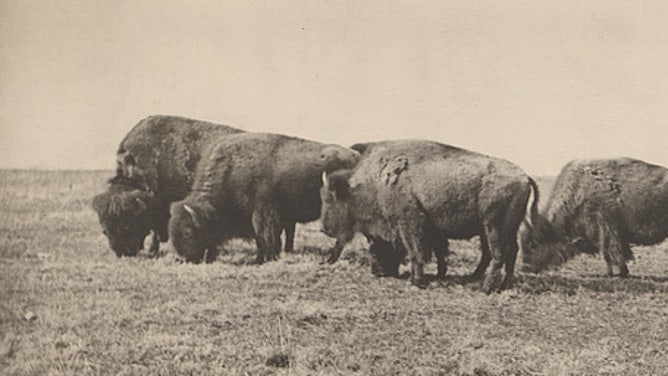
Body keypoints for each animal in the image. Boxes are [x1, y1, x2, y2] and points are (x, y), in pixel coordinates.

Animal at [167, 134, 360, 262]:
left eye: (188, 231)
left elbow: (266, 236)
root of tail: (355, 156)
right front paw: (264, 256)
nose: (185, 259)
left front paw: (264, 258)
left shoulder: (264, 212)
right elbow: (262, 238)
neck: (231, 169)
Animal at [318, 141, 536, 294]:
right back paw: (499, 284)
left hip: (493, 226)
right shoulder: (432, 230)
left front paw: (416, 281)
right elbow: (439, 253)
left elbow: (416, 252)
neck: (375, 183)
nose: (324, 229)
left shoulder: (408, 223)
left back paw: (486, 288)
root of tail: (524, 176)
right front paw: (438, 275)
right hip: (506, 228)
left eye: (329, 200)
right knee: (509, 252)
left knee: (498, 253)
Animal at [520, 157, 668, 278]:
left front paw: (617, 273)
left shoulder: (607, 230)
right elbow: (609, 254)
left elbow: (611, 253)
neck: (581, 190)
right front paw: (613, 272)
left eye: (533, 243)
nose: (524, 269)